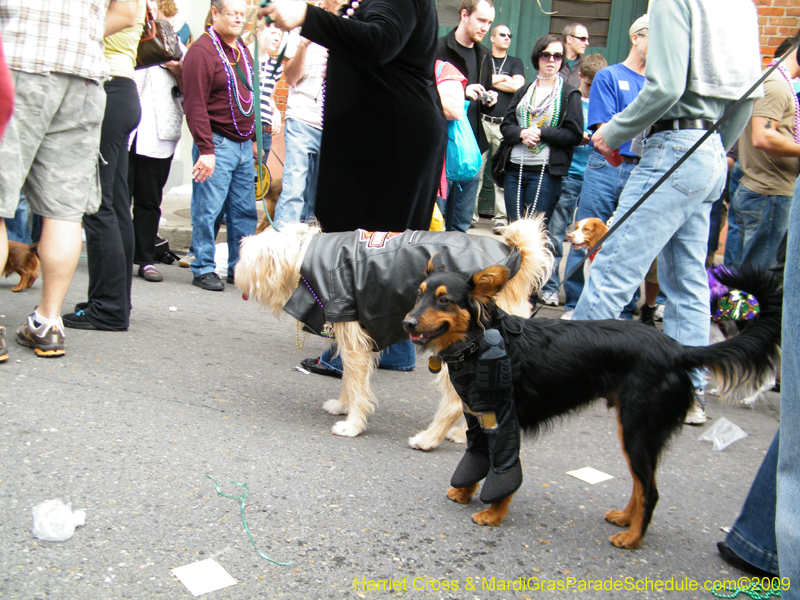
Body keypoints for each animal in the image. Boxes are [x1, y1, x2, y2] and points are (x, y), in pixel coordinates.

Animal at [234, 216, 552, 450]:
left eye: (243, 257)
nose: (235, 275)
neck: (304, 256)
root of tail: (515, 261)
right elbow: (349, 380)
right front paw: (342, 406)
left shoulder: (353, 336)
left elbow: (356, 383)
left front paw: (353, 423)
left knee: (454, 402)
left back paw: (432, 438)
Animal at [404, 258, 780, 548]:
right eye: (419, 295)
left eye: (444, 301)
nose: (407, 322)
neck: (480, 341)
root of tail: (677, 350)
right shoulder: (479, 419)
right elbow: (477, 459)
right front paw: (466, 492)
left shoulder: (504, 422)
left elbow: (504, 470)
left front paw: (494, 513)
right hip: (633, 431)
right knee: (640, 485)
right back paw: (626, 520)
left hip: (639, 428)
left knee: (651, 491)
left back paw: (633, 539)